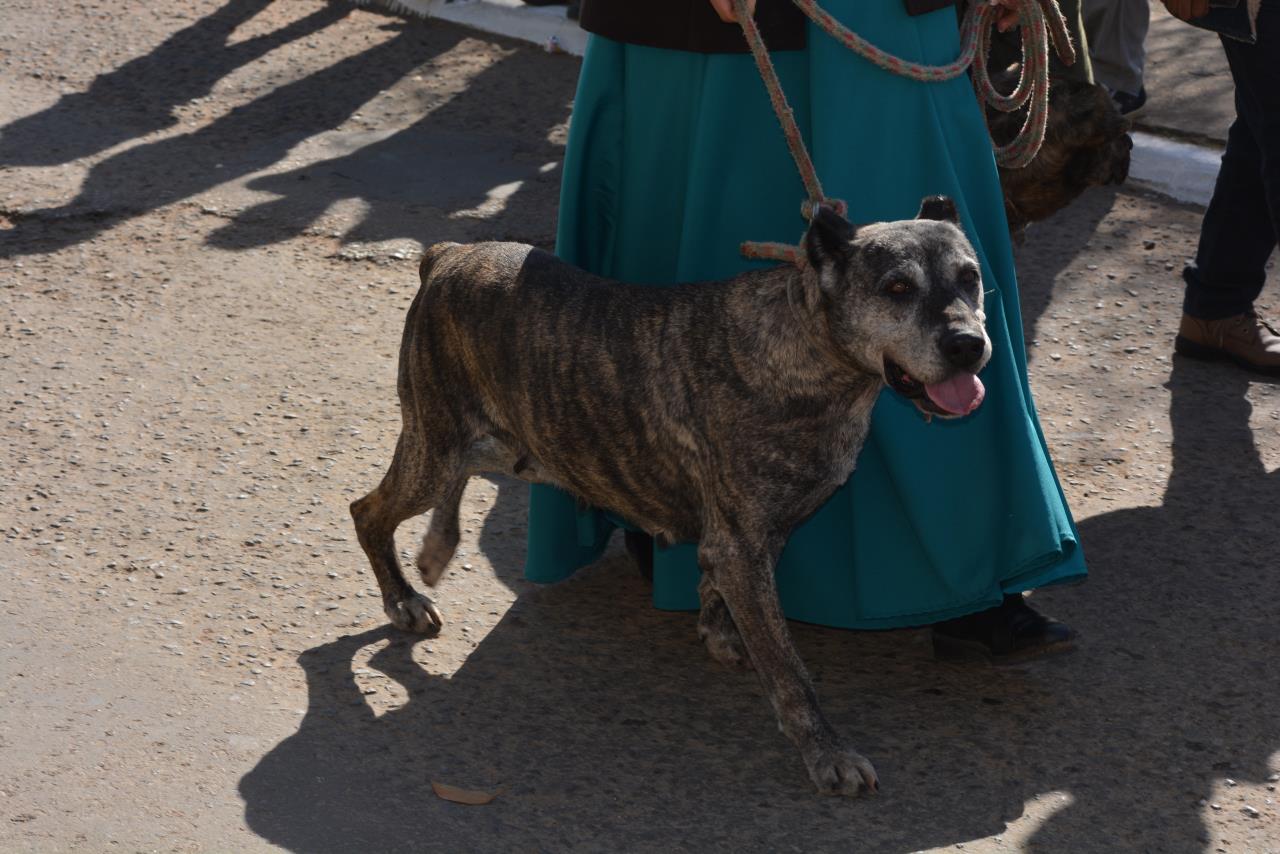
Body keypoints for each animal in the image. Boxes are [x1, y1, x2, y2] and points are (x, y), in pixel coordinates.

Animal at [349, 196, 992, 796]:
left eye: (971, 277)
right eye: (897, 288)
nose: (968, 344)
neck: (806, 346)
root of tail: (448, 254)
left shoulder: (749, 540)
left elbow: (720, 591)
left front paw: (719, 629)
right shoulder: (743, 545)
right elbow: (791, 670)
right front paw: (826, 752)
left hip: (496, 445)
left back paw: (437, 546)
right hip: (435, 450)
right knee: (368, 511)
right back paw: (403, 597)